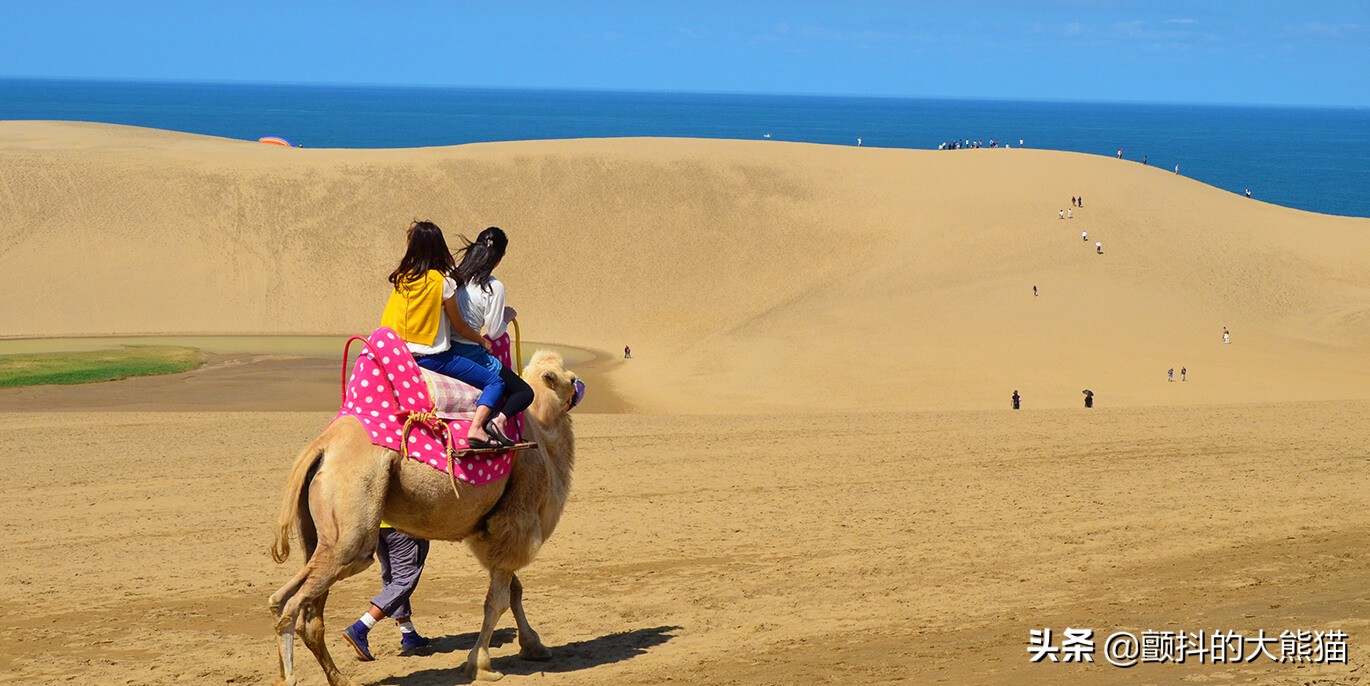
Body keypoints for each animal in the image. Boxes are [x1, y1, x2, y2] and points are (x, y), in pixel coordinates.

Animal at [269, 350, 580, 681]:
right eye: (570, 378)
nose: (578, 386)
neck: (541, 434)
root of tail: (322, 445)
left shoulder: (493, 534)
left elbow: (514, 592)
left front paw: (535, 647)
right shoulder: (515, 522)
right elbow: (497, 602)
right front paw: (481, 665)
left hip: (319, 535)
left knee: (294, 606)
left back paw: (335, 678)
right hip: (351, 530)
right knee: (295, 605)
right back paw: (292, 678)